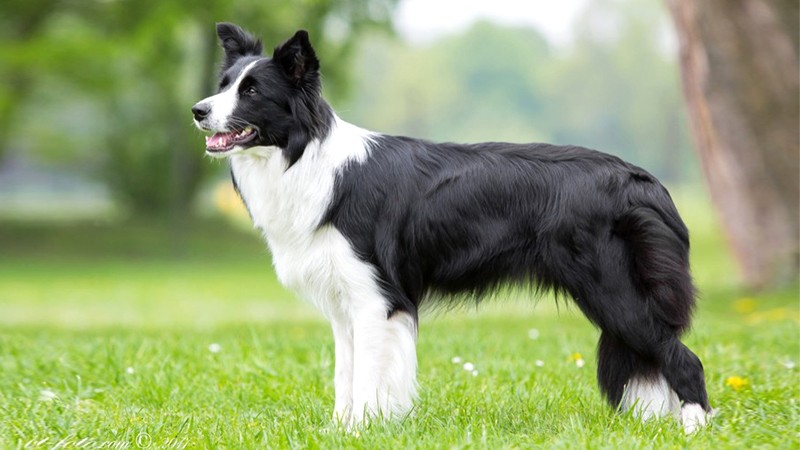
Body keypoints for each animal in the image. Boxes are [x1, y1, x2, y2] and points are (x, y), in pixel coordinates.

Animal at [192, 23, 712, 432]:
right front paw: (342, 430)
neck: (305, 157)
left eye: (252, 92)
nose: (198, 110)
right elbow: (346, 374)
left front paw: (364, 429)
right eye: (224, 84)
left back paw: (693, 428)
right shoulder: (345, 304)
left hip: (614, 290)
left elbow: (368, 376)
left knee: (683, 359)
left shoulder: (377, 298)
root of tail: (643, 181)